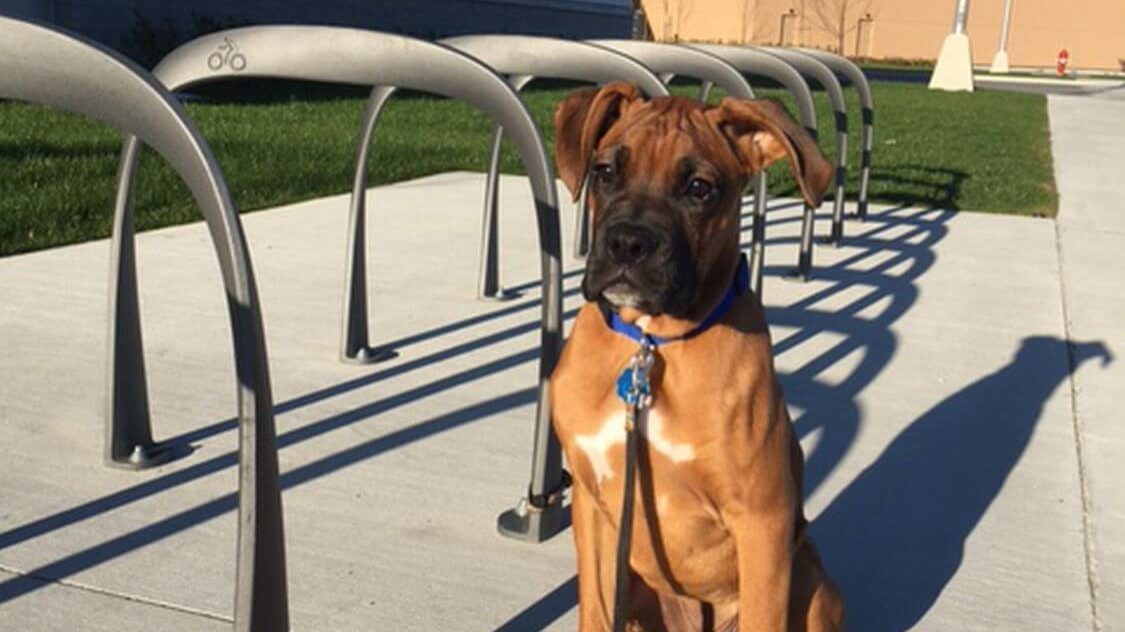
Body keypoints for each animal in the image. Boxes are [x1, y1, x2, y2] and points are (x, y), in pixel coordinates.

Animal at [549, 80, 846, 625]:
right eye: (605, 173)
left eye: (699, 189)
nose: (627, 243)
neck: (650, 344)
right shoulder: (592, 506)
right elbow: (595, 613)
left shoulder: (764, 523)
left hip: (813, 582)